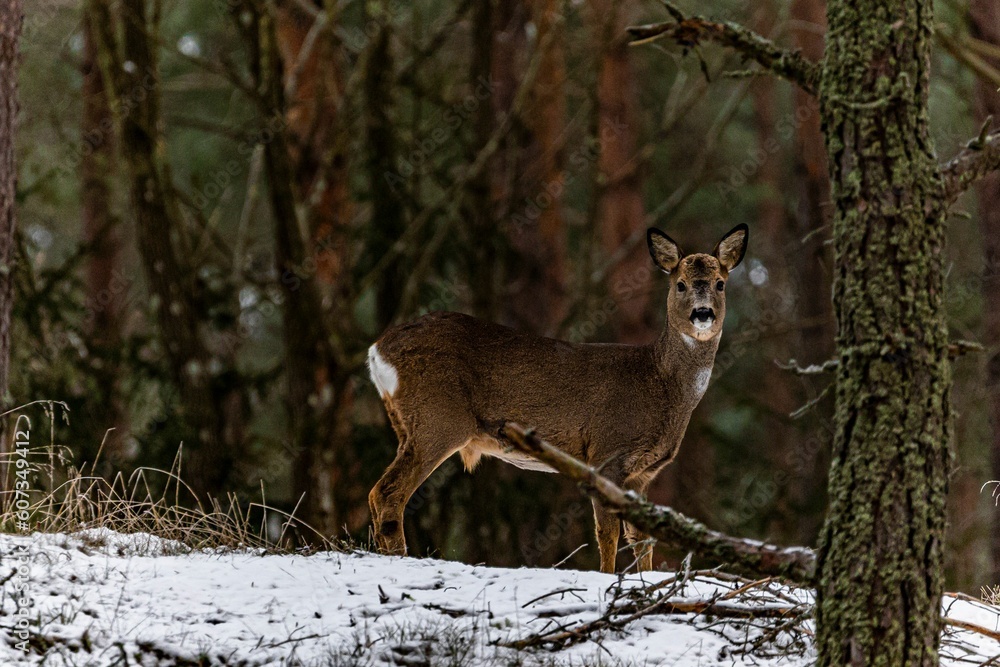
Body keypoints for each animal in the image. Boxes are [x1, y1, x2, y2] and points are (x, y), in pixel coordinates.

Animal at [367, 224, 748, 573]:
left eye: (720, 283)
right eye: (680, 284)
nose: (703, 313)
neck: (659, 383)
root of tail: (377, 350)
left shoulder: (642, 474)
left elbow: (643, 539)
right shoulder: (607, 453)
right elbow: (607, 534)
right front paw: (606, 581)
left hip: (408, 424)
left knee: (378, 494)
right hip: (439, 419)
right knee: (387, 493)